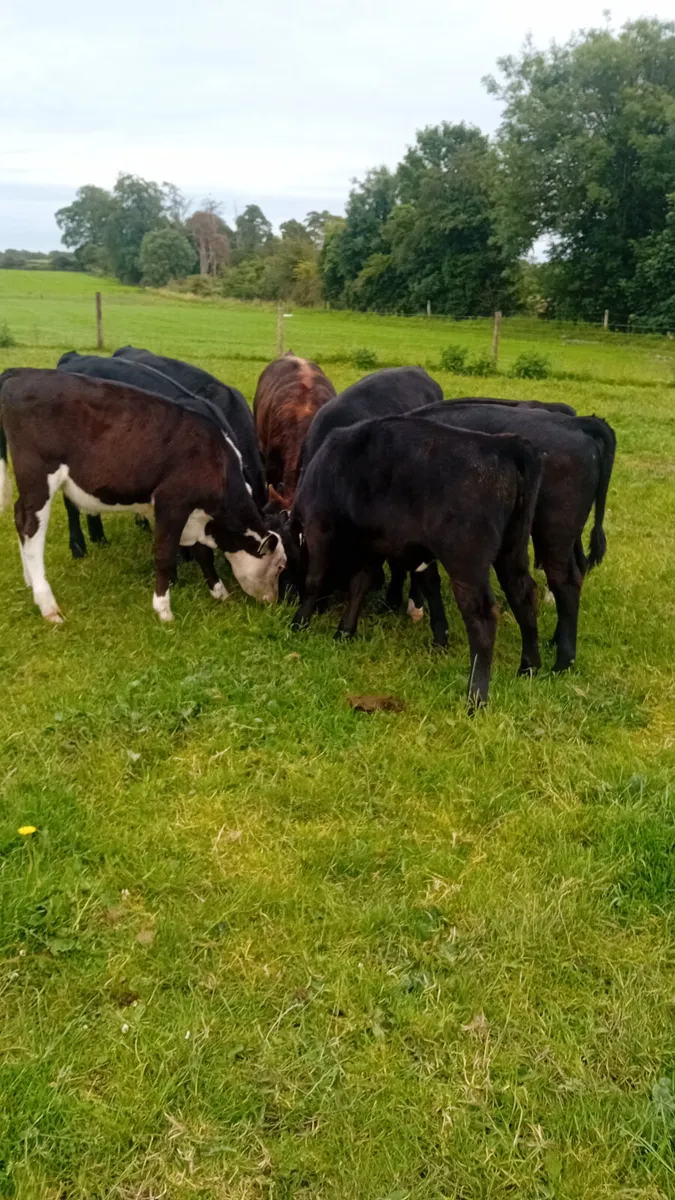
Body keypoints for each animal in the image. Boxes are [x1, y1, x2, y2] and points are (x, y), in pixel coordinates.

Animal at [0, 369, 284, 624]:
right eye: (281, 566)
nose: (274, 602)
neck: (217, 461)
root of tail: (21, 373)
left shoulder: (196, 516)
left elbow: (203, 553)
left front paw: (219, 592)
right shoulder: (172, 503)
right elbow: (164, 555)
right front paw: (163, 610)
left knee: (19, 518)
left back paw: (29, 581)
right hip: (38, 478)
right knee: (30, 527)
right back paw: (48, 605)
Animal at [290, 415, 540, 705]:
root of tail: (503, 444)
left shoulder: (319, 526)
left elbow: (315, 579)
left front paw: (299, 622)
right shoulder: (374, 545)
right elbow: (360, 585)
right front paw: (344, 631)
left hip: (467, 562)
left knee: (482, 616)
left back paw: (476, 695)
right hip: (513, 548)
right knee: (522, 593)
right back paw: (530, 666)